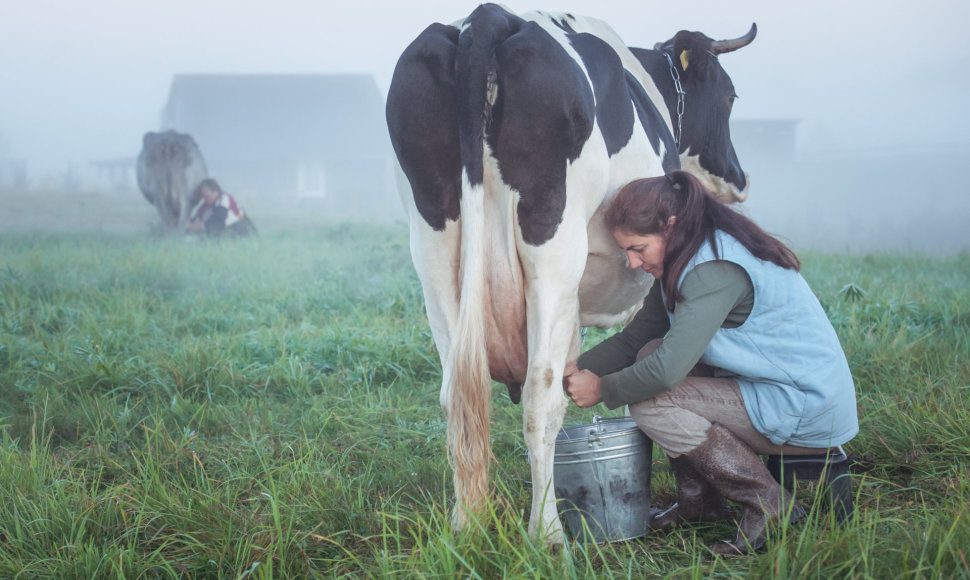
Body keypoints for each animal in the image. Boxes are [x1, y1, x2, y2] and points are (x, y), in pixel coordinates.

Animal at [386, 2, 756, 540]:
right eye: (729, 95)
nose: (741, 179)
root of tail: (487, 18)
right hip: (552, 244)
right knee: (540, 399)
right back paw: (547, 534)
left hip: (433, 247)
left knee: (458, 393)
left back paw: (466, 527)